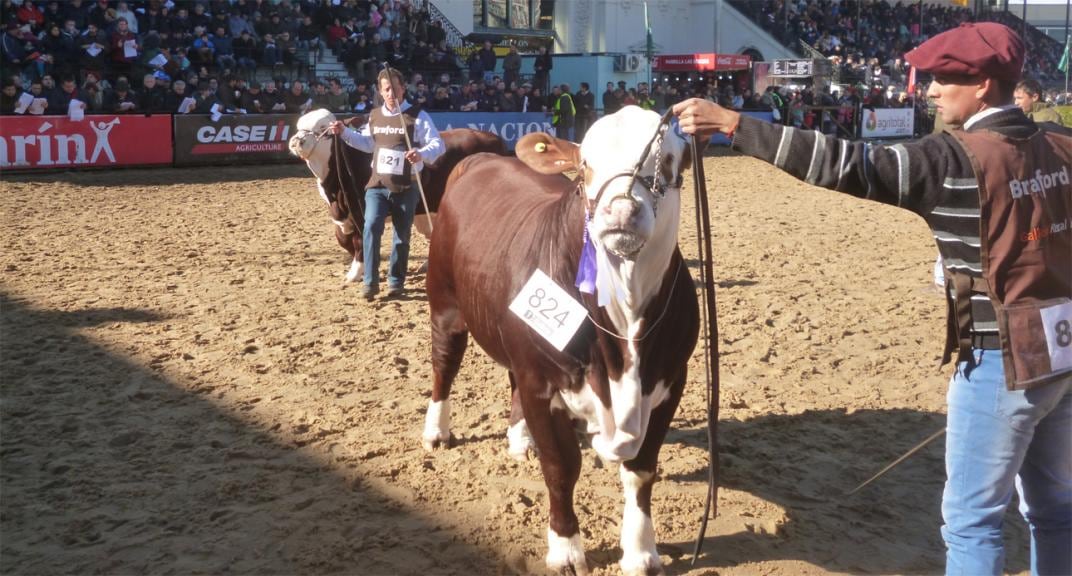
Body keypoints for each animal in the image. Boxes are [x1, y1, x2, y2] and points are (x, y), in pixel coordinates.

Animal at [285, 108, 501, 283]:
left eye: (323, 128)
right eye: (299, 126)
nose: (296, 141)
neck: (334, 194)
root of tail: (492, 138)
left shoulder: (359, 211)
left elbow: (359, 242)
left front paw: (354, 274)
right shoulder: (342, 217)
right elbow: (344, 241)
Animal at [418, 105, 703, 570]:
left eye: (668, 162)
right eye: (585, 165)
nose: (621, 210)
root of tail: (482, 159)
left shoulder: (669, 382)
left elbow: (642, 470)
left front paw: (641, 552)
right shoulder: (542, 382)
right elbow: (561, 467)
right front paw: (566, 548)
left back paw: (519, 438)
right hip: (445, 304)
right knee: (445, 365)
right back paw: (437, 432)